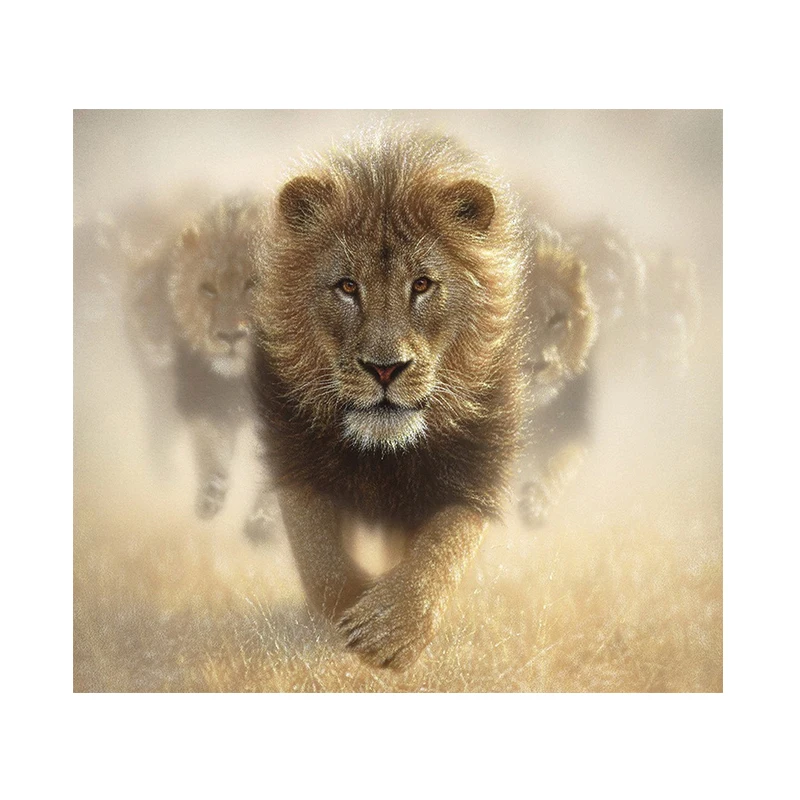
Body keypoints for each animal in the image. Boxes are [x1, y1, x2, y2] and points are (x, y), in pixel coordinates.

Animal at [126, 196, 278, 543]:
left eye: (253, 283)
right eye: (208, 288)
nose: (230, 336)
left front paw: (263, 521)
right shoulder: (205, 395)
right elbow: (209, 445)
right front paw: (210, 494)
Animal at [250, 125, 535, 669]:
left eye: (422, 284)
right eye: (347, 286)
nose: (385, 368)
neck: (384, 453)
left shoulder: (476, 471)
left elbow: (444, 547)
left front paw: (390, 628)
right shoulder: (294, 454)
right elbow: (319, 558)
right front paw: (354, 606)